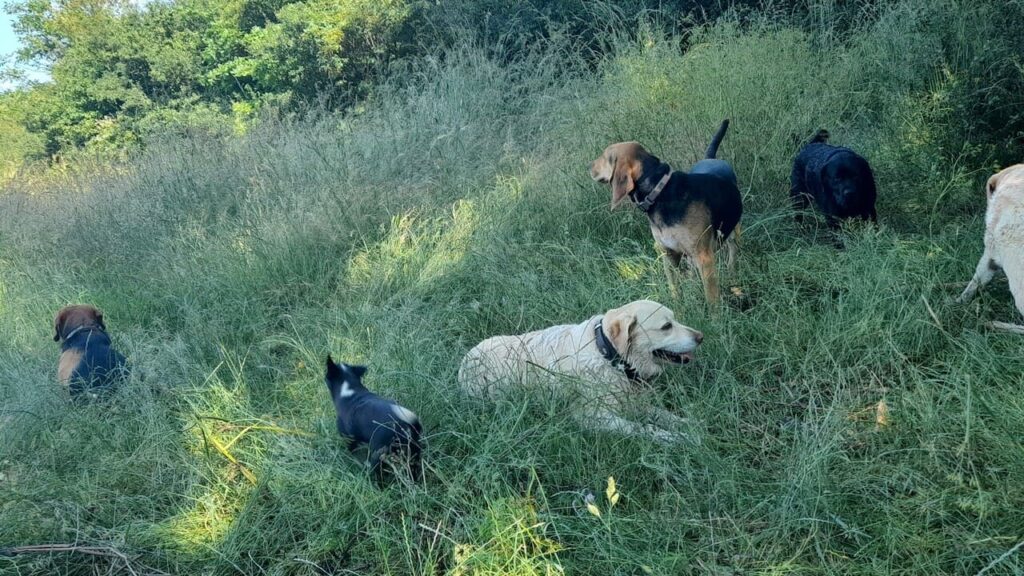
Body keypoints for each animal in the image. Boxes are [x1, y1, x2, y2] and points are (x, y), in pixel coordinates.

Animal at [458, 297, 704, 440]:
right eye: (666, 326)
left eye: (675, 320)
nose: (701, 337)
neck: (608, 356)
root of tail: (464, 362)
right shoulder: (593, 418)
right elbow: (643, 428)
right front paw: (676, 438)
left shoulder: (635, 402)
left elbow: (665, 415)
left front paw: (692, 425)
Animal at [593, 119, 745, 303]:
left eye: (605, 156)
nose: (589, 166)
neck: (659, 191)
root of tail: (711, 158)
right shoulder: (668, 255)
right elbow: (675, 290)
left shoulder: (704, 258)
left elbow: (711, 300)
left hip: (733, 234)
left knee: (732, 255)